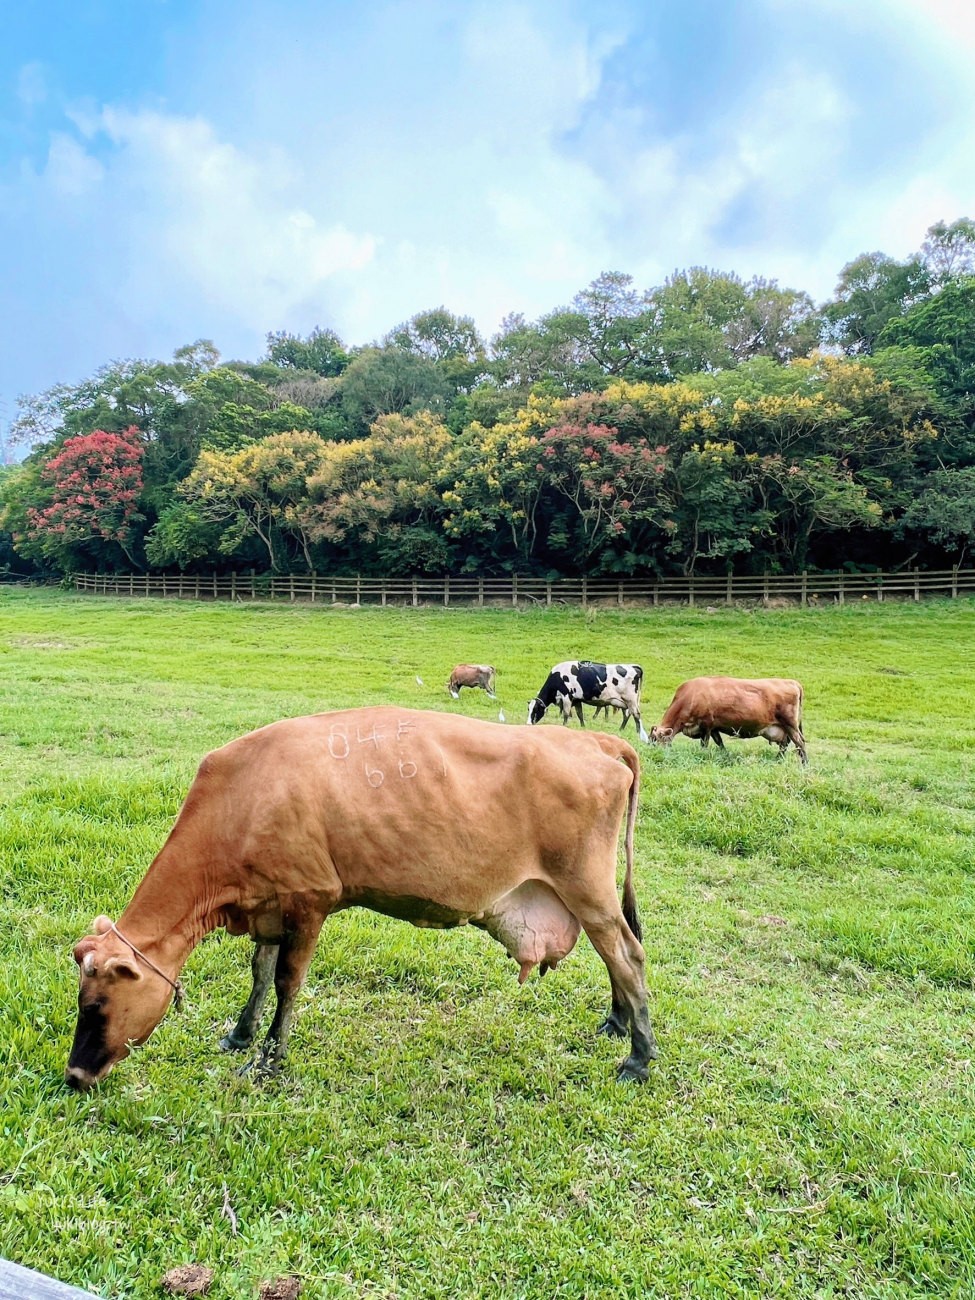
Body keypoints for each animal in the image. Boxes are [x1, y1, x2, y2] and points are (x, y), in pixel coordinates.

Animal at [66, 707, 657, 1092]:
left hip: (586, 884)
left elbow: (287, 982)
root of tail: (595, 742)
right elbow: (260, 973)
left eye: (95, 1006)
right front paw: (240, 1034)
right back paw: (617, 1022)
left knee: (628, 954)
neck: (242, 799)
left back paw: (639, 1056)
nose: (74, 1076)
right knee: (615, 953)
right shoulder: (269, 903)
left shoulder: (310, 899)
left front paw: (269, 1061)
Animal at [650, 681, 811, 759]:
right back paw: (778, 760)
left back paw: (804, 765)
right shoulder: (714, 727)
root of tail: (792, 682)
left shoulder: (706, 725)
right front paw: (725, 755)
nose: (654, 754)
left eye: (656, 741)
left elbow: (704, 744)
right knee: (785, 744)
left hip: (790, 724)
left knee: (800, 744)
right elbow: (720, 743)